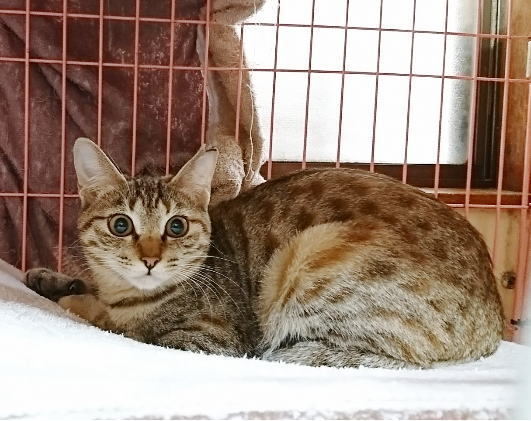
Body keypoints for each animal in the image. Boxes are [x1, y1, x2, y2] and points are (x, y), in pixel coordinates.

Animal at [25, 137, 504, 368]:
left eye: (176, 226)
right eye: (120, 225)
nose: (149, 259)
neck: (127, 298)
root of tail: (494, 323)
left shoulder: (207, 340)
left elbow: (122, 331)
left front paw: (79, 303)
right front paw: (52, 280)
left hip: (314, 263)